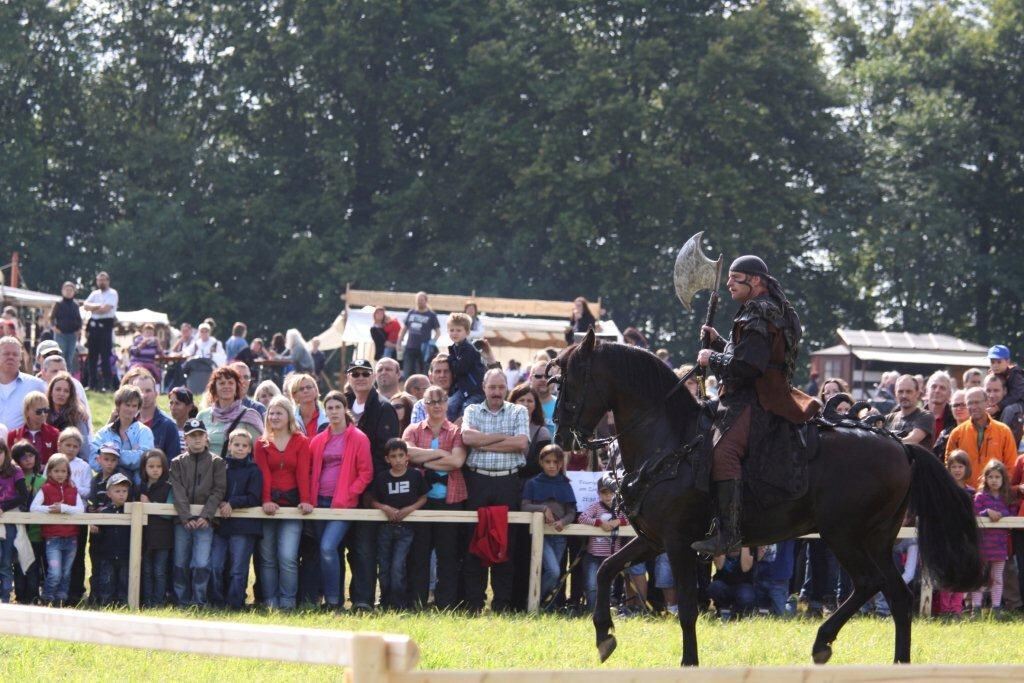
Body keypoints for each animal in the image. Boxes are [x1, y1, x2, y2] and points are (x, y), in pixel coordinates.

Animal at [552, 331, 983, 667]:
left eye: (570, 380)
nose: (561, 437)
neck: (670, 442)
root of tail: (900, 446)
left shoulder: (678, 543)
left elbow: (688, 608)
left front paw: (688, 662)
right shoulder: (653, 539)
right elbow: (607, 569)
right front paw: (604, 636)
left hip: (843, 534)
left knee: (868, 583)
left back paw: (823, 642)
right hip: (876, 538)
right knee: (896, 596)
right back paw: (895, 661)